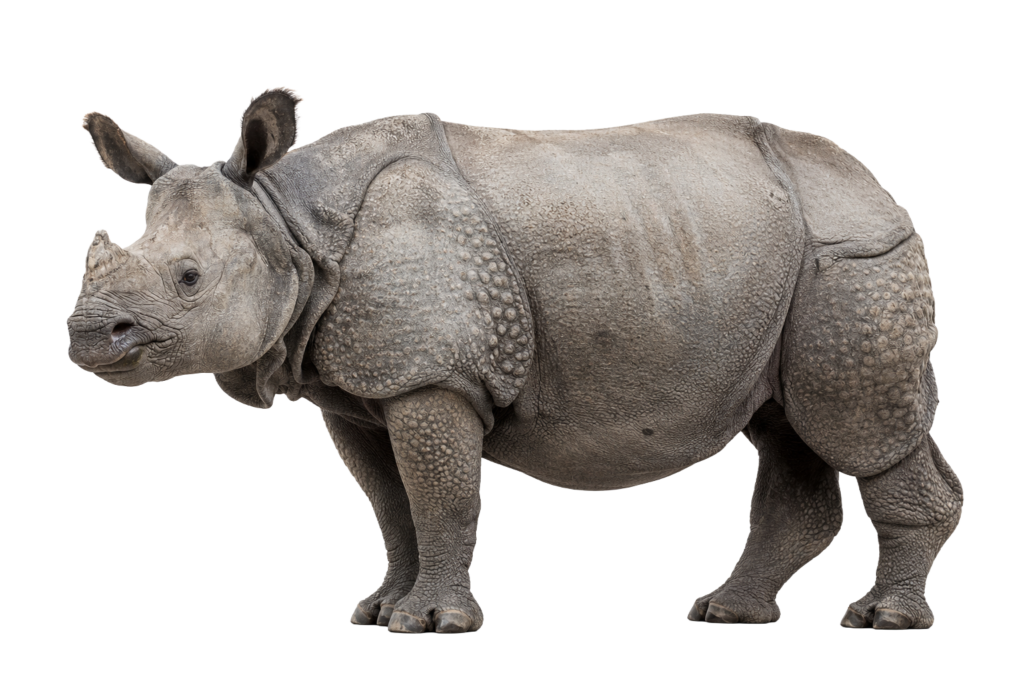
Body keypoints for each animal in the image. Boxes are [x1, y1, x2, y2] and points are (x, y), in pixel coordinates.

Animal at [67, 86, 963, 633]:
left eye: (188, 279)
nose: (84, 334)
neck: (289, 218)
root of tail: (879, 186)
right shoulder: (356, 389)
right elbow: (390, 505)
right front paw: (379, 608)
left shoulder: (431, 374)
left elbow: (441, 496)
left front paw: (429, 623)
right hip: (782, 261)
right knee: (787, 426)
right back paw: (726, 611)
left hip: (851, 256)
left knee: (855, 425)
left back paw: (881, 618)